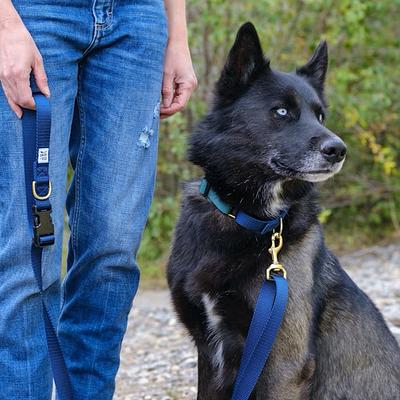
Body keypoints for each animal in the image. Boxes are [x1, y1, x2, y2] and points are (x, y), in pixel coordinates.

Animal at [166, 22, 400, 400]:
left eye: (320, 115)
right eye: (281, 112)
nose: (338, 149)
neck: (250, 219)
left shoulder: (284, 363)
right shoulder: (209, 353)